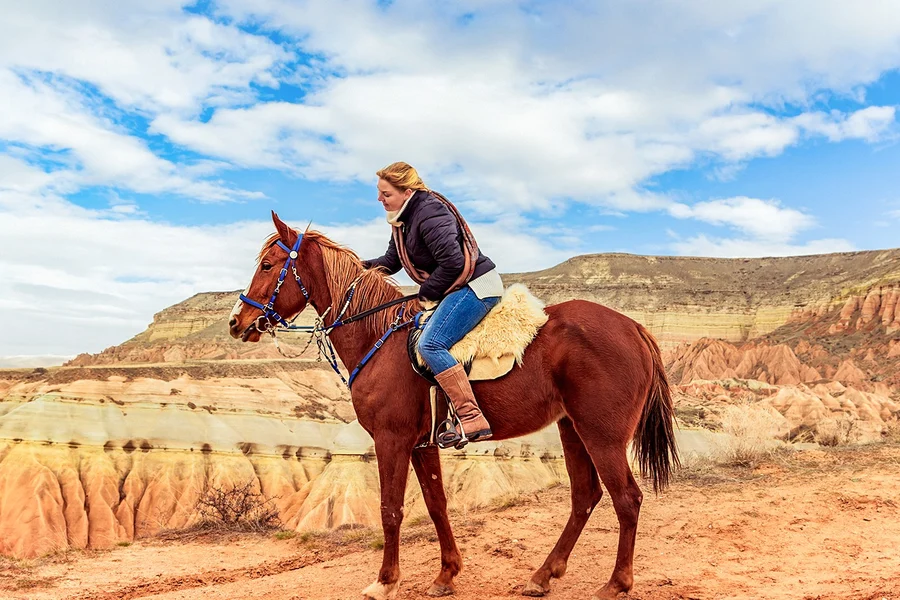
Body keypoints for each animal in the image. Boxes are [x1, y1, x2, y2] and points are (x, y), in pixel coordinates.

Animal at [228, 212, 679, 600]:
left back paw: (616, 583)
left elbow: (390, 509)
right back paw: (542, 575)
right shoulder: (422, 445)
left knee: (627, 499)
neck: (379, 337)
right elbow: (436, 505)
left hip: (602, 435)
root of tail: (635, 328)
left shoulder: (391, 440)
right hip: (572, 428)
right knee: (585, 496)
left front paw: (385, 581)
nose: (236, 322)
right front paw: (446, 575)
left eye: (267, 265)